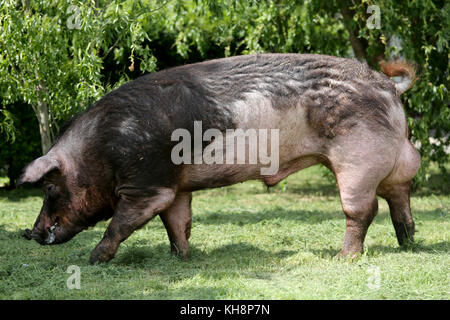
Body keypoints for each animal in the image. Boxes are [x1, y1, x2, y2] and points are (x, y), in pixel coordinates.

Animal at [15, 53, 420, 264]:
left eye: (49, 187)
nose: (29, 232)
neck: (99, 150)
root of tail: (388, 85)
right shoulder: (176, 187)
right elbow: (177, 224)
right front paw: (181, 259)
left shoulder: (148, 184)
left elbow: (121, 223)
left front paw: (92, 259)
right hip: (393, 162)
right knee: (399, 197)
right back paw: (409, 244)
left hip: (358, 158)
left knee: (363, 210)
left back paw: (344, 257)